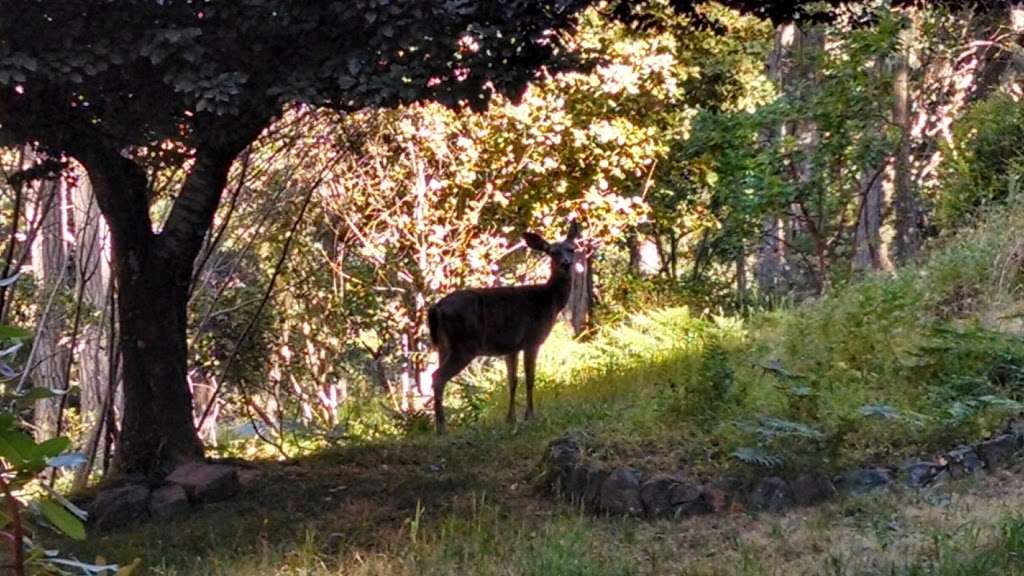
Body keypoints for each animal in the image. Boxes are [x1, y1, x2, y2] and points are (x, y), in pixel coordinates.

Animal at [425, 222, 585, 432]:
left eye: (571, 249)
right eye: (552, 252)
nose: (566, 263)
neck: (550, 300)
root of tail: (437, 308)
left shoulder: (511, 347)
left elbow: (512, 380)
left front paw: (511, 418)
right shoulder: (532, 339)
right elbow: (530, 378)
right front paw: (530, 415)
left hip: (443, 346)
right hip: (464, 345)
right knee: (437, 377)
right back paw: (441, 428)